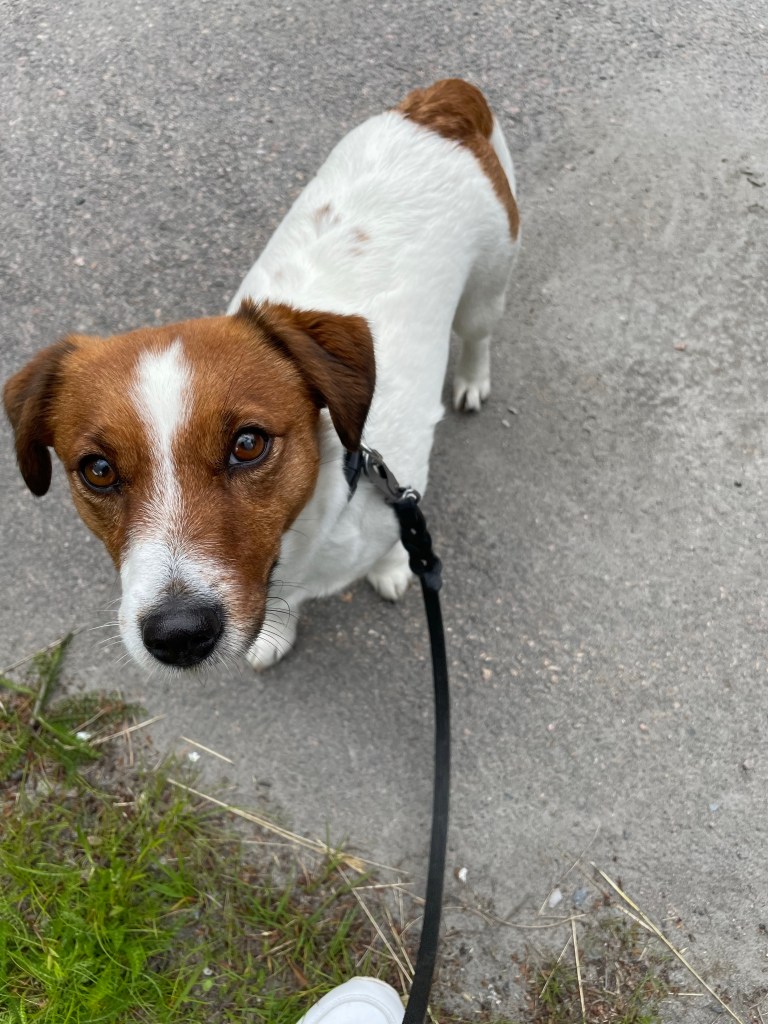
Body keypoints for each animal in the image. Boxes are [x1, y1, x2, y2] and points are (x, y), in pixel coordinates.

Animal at [4, 79, 520, 672]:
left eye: (248, 444)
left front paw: (391, 568)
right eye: (98, 470)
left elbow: (393, 544)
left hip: (486, 289)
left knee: (479, 336)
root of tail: (440, 105)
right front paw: (277, 631)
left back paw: (471, 380)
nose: (178, 635)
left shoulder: (405, 494)